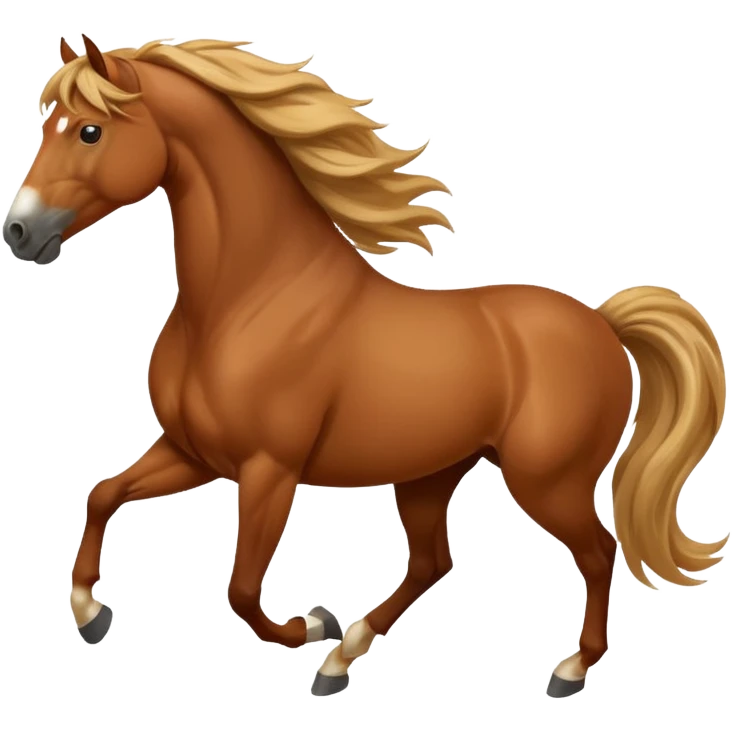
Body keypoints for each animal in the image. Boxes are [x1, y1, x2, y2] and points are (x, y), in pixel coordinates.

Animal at [3, 34, 727, 699]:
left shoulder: (269, 471)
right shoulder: (193, 453)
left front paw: (311, 624)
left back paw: (568, 670)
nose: (18, 232)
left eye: (90, 130)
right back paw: (344, 657)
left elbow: (241, 589)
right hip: (431, 474)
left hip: (548, 481)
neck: (249, 300)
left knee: (598, 553)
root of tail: (602, 323)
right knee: (433, 560)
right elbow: (102, 495)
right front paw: (92, 614)